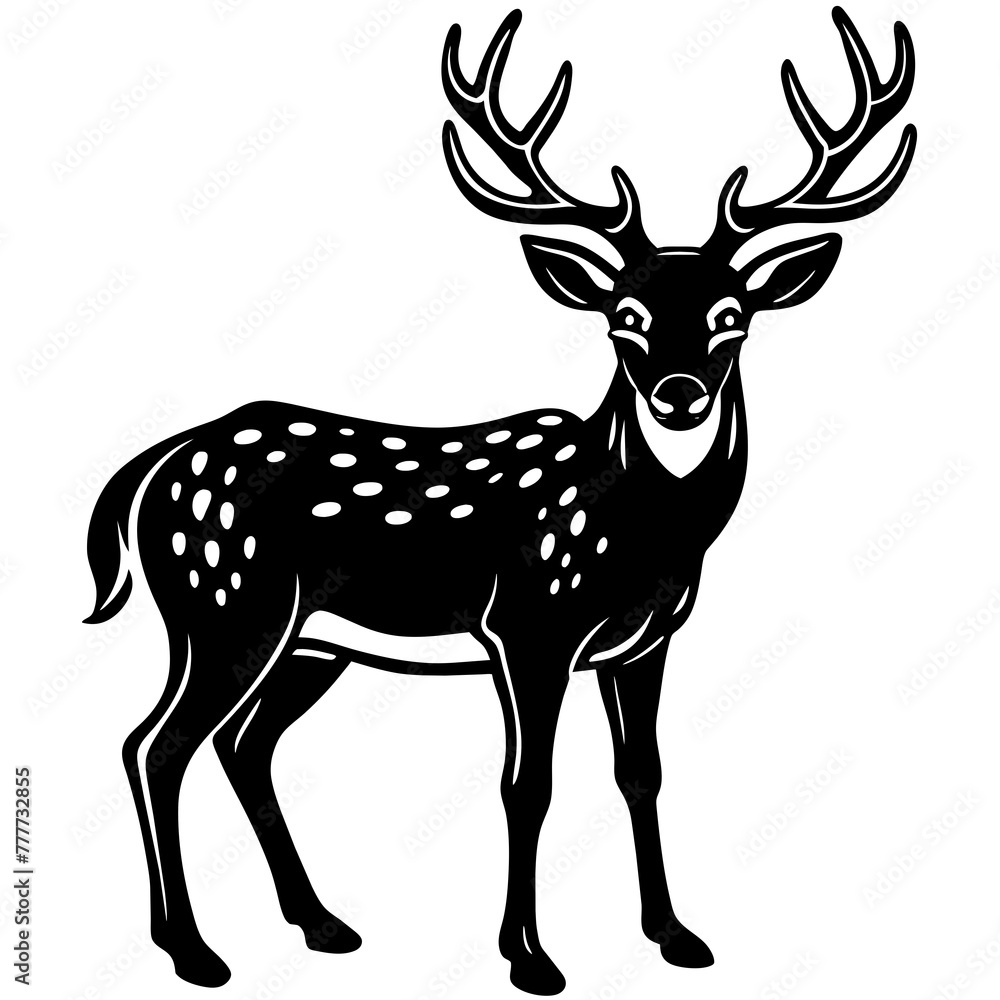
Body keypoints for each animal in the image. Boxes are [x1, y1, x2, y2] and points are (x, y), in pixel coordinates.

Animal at [83, 7, 915, 995]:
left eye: (731, 318)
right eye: (624, 317)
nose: (677, 393)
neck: (645, 537)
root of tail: (154, 464)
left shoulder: (647, 639)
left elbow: (642, 772)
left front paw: (675, 936)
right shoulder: (527, 625)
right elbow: (530, 784)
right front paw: (530, 957)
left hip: (308, 641)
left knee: (242, 746)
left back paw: (322, 925)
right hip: (221, 605)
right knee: (154, 744)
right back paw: (193, 950)